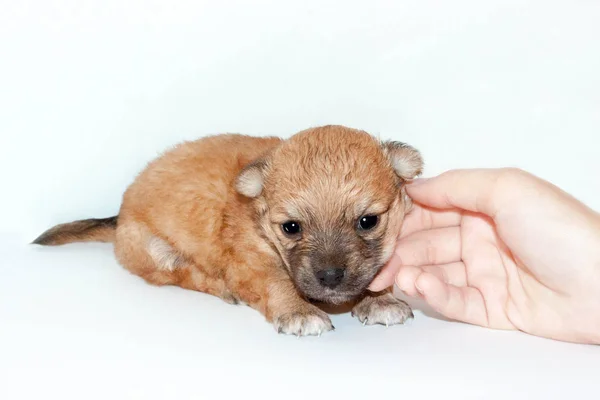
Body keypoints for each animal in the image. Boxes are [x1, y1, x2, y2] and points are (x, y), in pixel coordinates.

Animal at [35, 124, 424, 334]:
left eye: (368, 221)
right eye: (291, 227)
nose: (329, 276)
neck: (259, 219)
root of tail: (120, 214)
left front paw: (380, 299)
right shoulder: (251, 265)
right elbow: (277, 282)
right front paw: (298, 311)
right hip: (154, 251)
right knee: (186, 275)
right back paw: (221, 288)